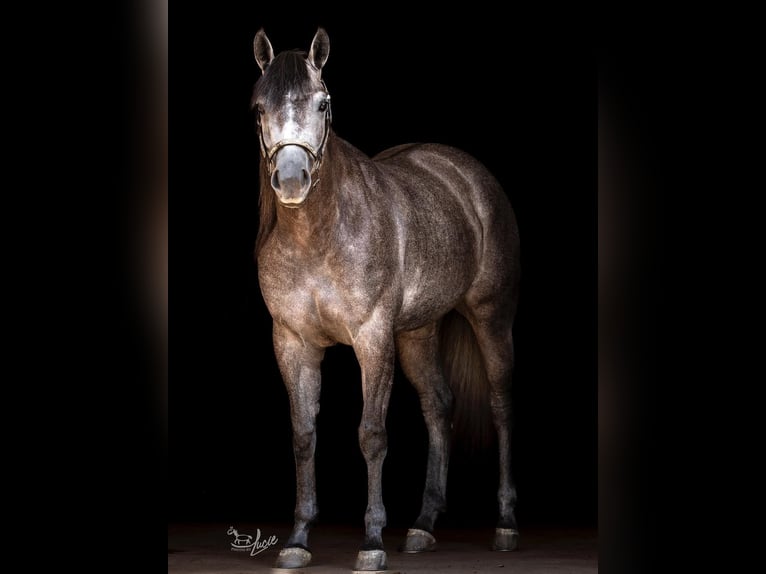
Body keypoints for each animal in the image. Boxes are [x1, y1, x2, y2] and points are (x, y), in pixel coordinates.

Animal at [252, 27, 521, 571]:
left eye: (323, 102)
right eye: (258, 108)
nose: (290, 181)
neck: (319, 236)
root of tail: (468, 175)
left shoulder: (373, 338)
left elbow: (371, 434)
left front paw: (372, 540)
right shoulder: (291, 343)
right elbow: (303, 437)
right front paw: (297, 539)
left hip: (491, 317)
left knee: (501, 404)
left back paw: (504, 524)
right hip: (417, 333)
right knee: (439, 405)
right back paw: (422, 525)